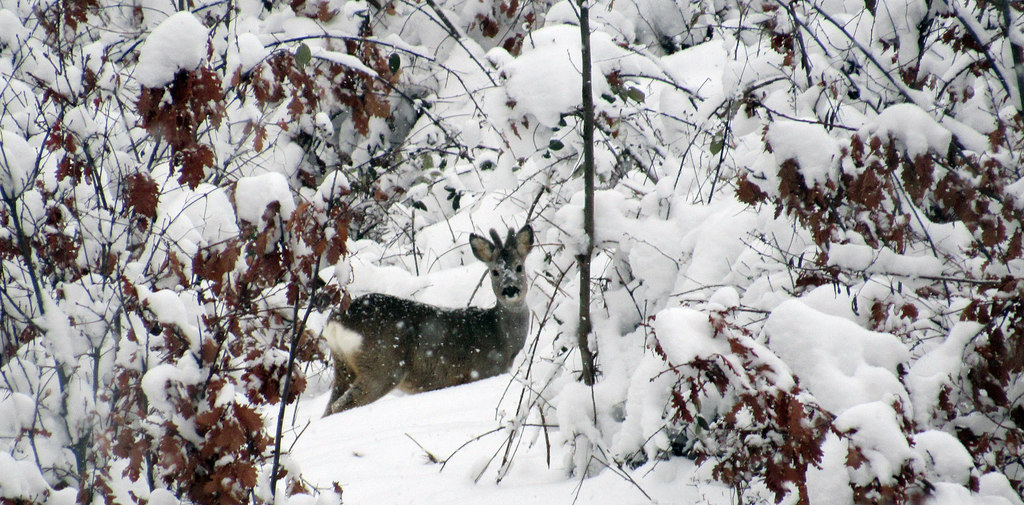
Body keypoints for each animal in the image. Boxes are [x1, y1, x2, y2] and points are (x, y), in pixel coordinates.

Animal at [323, 226, 536, 415]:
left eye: (519, 267)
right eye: (494, 272)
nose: (510, 289)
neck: (500, 336)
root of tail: (337, 320)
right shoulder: (481, 372)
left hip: (343, 367)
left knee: (328, 409)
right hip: (382, 365)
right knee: (341, 405)